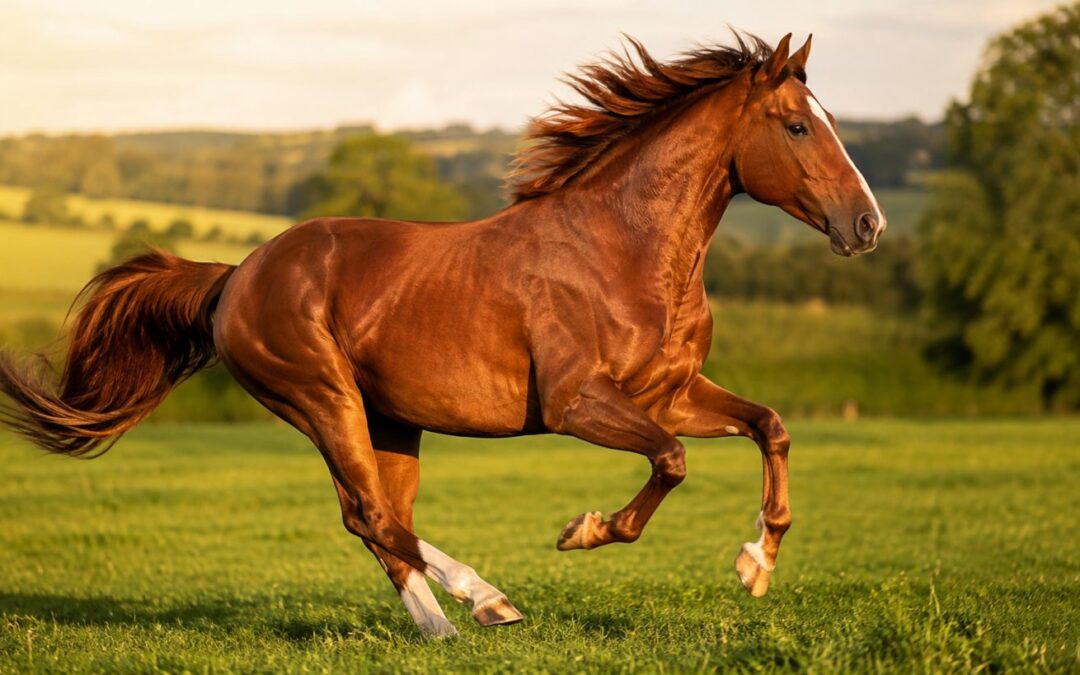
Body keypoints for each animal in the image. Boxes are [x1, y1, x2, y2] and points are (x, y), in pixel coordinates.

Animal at [0, 32, 885, 637]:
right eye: (796, 126)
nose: (867, 225)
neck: (625, 248)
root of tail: (237, 274)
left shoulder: (669, 392)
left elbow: (770, 426)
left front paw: (756, 565)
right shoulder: (577, 403)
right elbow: (671, 460)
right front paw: (584, 531)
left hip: (391, 420)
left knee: (378, 521)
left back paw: (442, 627)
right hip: (321, 398)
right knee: (371, 515)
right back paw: (487, 599)